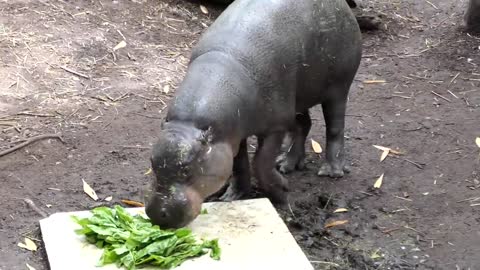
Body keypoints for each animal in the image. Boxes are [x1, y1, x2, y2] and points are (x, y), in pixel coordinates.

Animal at [144, 0, 362, 229]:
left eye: (186, 169)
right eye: (152, 163)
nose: (157, 213)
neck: (189, 123)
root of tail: (343, 6)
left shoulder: (275, 126)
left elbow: (261, 162)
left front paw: (281, 192)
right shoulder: (232, 133)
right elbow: (239, 164)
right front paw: (232, 196)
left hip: (338, 87)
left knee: (335, 126)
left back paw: (331, 171)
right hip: (298, 97)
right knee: (304, 125)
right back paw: (286, 164)